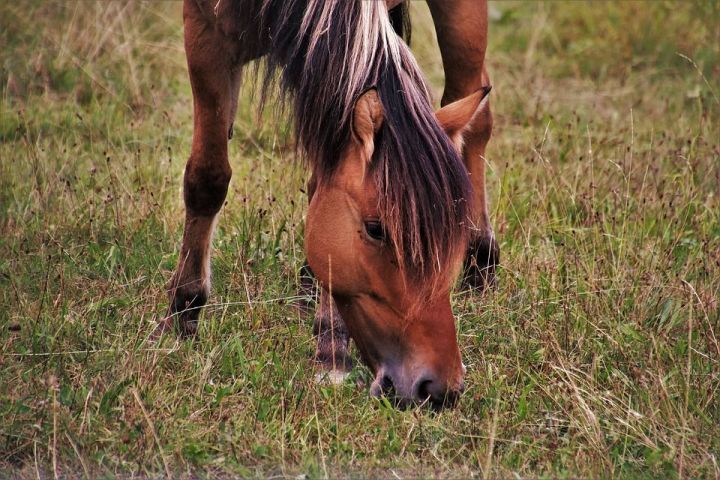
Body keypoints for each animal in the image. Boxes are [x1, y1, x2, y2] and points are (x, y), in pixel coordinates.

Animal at [157, 0, 496, 408]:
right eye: (375, 229)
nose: (439, 390)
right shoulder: (205, 34)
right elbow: (207, 179)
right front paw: (183, 311)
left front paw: (331, 347)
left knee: (475, 111)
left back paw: (482, 262)